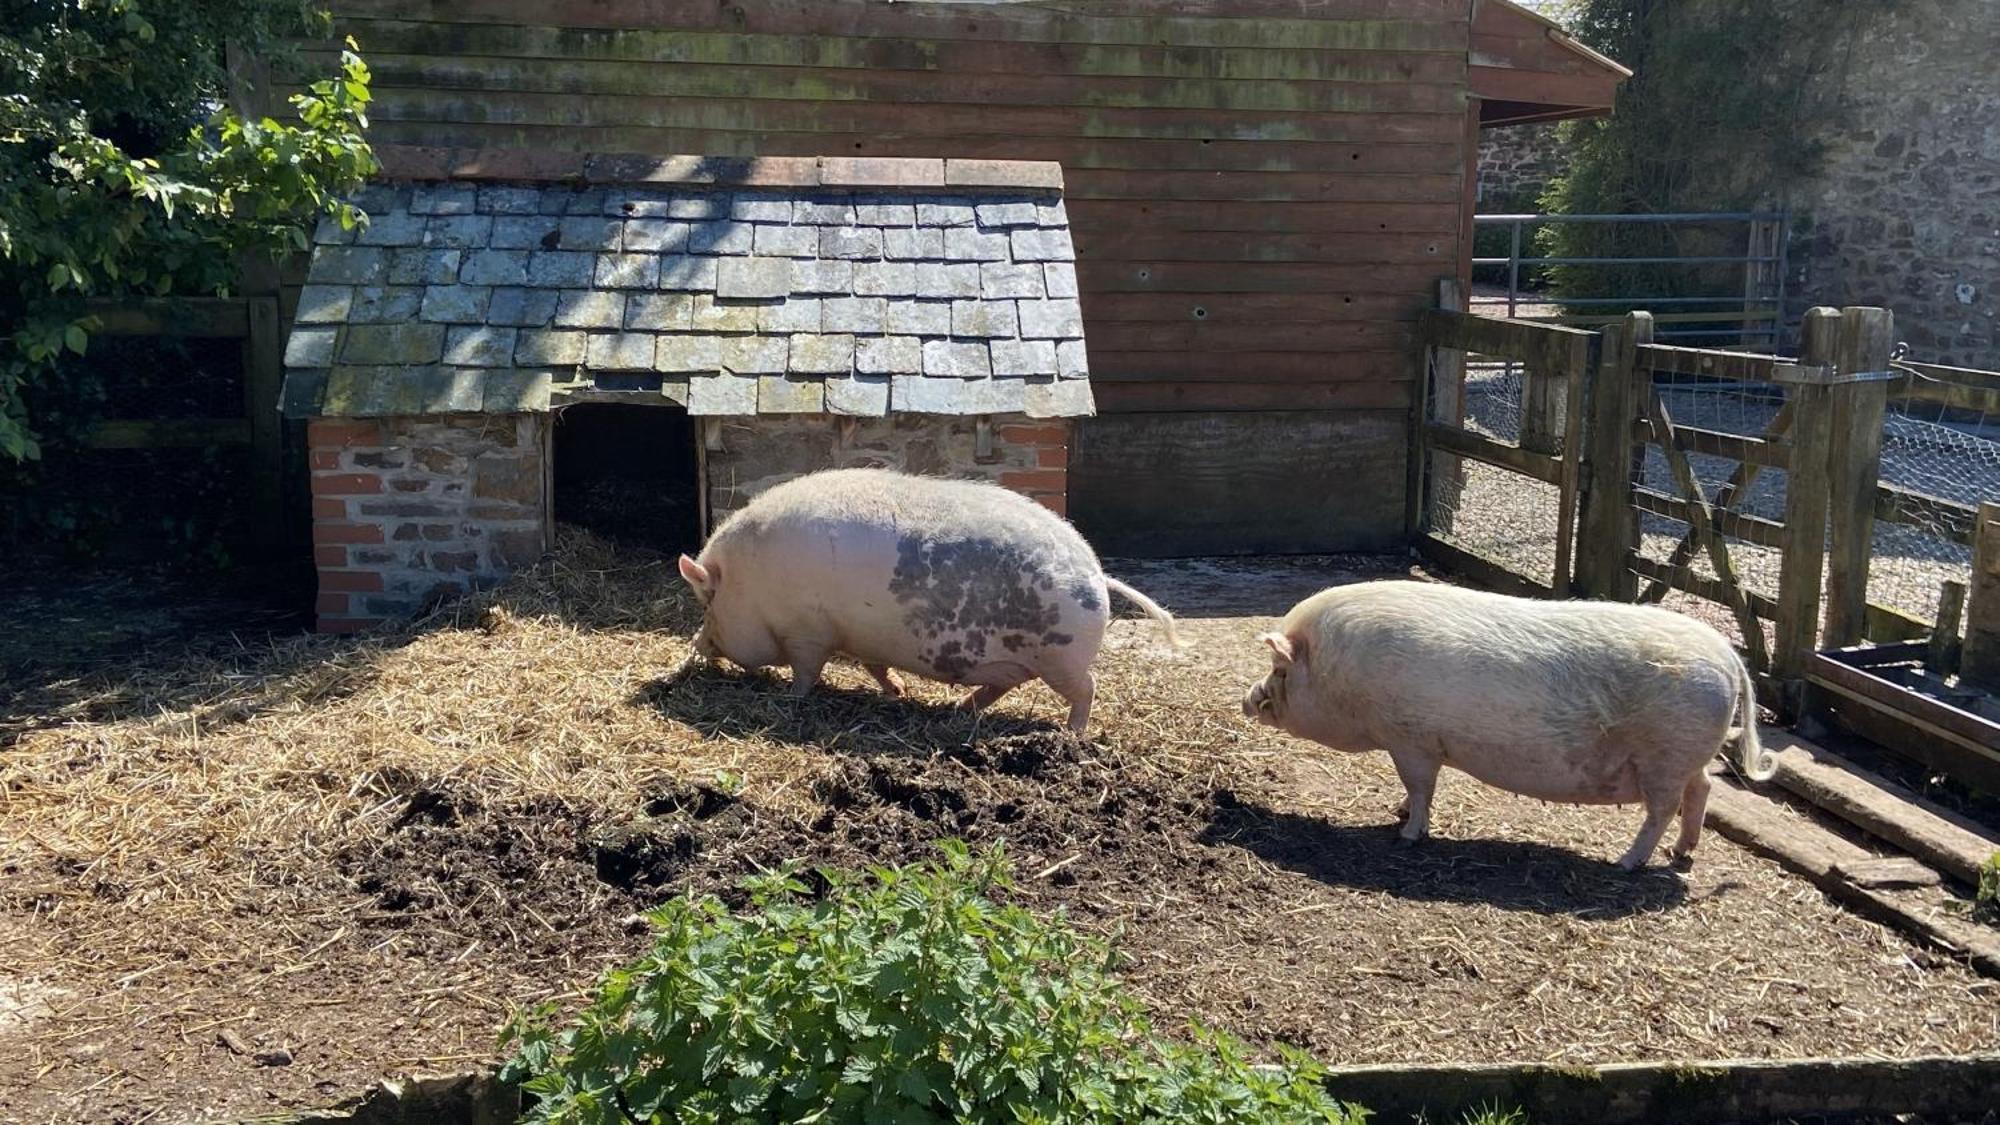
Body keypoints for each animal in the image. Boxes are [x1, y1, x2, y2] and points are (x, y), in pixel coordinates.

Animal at [680, 464, 1176, 728]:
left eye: (707, 603)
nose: (695, 645)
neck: (751, 586)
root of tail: (1096, 572)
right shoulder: (863, 637)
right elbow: (875, 667)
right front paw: (899, 692)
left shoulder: (807, 630)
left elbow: (806, 671)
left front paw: (792, 699)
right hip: (1022, 659)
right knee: (1002, 685)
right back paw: (959, 708)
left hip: (1061, 657)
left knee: (1086, 688)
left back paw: (1071, 734)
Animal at [1240, 576, 1776, 868]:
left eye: (1280, 670)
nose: (1248, 700)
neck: (1341, 674)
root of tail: (1729, 659)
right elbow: (1417, 789)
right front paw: (1397, 813)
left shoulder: (1411, 739)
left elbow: (1420, 787)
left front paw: (1406, 834)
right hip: (1686, 757)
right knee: (1702, 789)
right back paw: (1680, 856)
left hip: (1665, 759)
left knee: (1662, 810)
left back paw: (1626, 863)